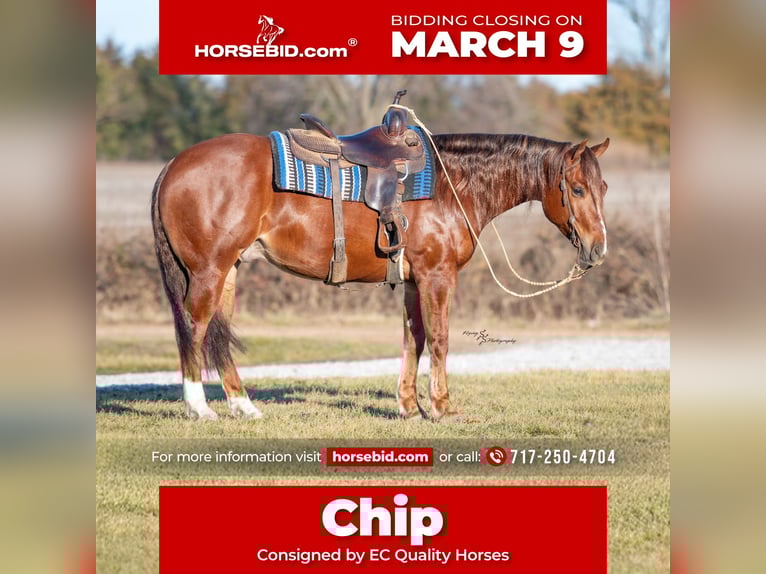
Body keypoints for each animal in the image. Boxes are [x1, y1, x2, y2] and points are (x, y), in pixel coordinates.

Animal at [151, 130, 610, 421]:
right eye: (578, 189)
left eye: (602, 187)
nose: (598, 249)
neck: (452, 187)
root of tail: (173, 164)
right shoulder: (437, 276)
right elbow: (439, 339)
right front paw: (441, 407)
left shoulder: (412, 281)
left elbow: (414, 339)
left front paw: (409, 406)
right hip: (208, 271)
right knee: (194, 327)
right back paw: (199, 408)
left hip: (228, 270)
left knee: (219, 331)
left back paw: (243, 406)